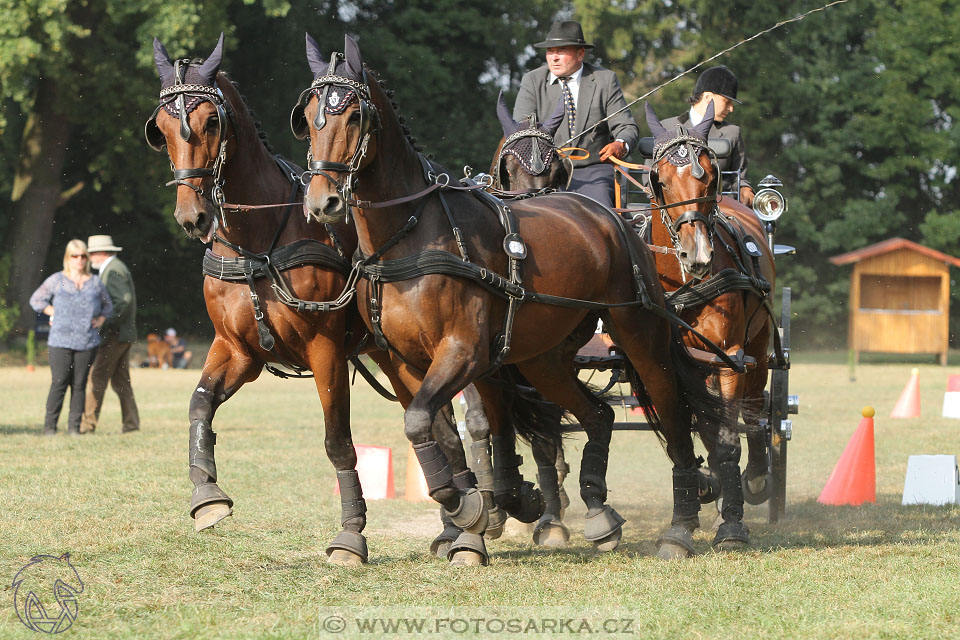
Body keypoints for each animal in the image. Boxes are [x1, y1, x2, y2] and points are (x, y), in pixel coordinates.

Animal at [144, 35, 474, 564]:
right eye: (161, 128)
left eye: (212, 122)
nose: (193, 216)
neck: (258, 242)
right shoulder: (236, 350)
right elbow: (199, 406)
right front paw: (207, 495)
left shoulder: (325, 350)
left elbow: (338, 442)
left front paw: (351, 534)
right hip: (397, 355)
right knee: (437, 422)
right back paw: (455, 526)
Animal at [292, 33, 728, 560]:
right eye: (308, 114)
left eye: (355, 115)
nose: (323, 202)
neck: (409, 234)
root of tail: (612, 219)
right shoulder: (403, 361)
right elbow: (441, 434)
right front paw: (474, 514)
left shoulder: (464, 351)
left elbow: (421, 423)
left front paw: (473, 510)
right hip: (544, 357)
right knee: (597, 414)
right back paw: (597, 511)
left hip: (640, 334)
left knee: (673, 412)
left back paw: (679, 527)